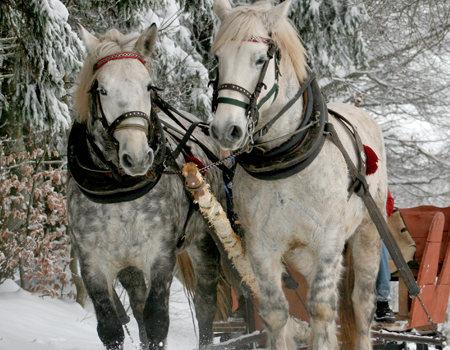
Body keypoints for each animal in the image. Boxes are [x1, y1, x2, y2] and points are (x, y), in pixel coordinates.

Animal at [209, 0, 388, 350]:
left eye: (260, 59)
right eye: (218, 58)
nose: (226, 130)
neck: (283, 163)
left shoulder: (329, 242)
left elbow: (321, 309)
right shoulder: (261, 245)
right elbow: (277, 312)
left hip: (368, 233)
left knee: (361, 303)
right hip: (300, 252)